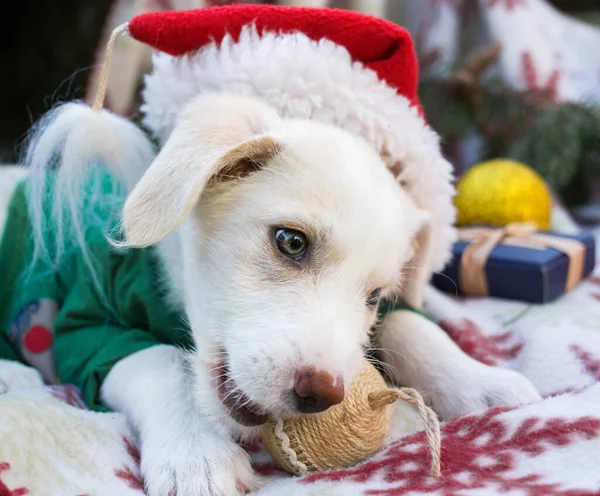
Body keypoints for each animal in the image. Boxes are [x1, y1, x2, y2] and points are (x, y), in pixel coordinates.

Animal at [90, 94, 544, 496]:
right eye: (291, 242)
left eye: (375, 295)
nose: (321, 395)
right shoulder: (89, 323)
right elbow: (157, 360)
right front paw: (195, 454)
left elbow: (409, 323)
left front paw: (480, 382)